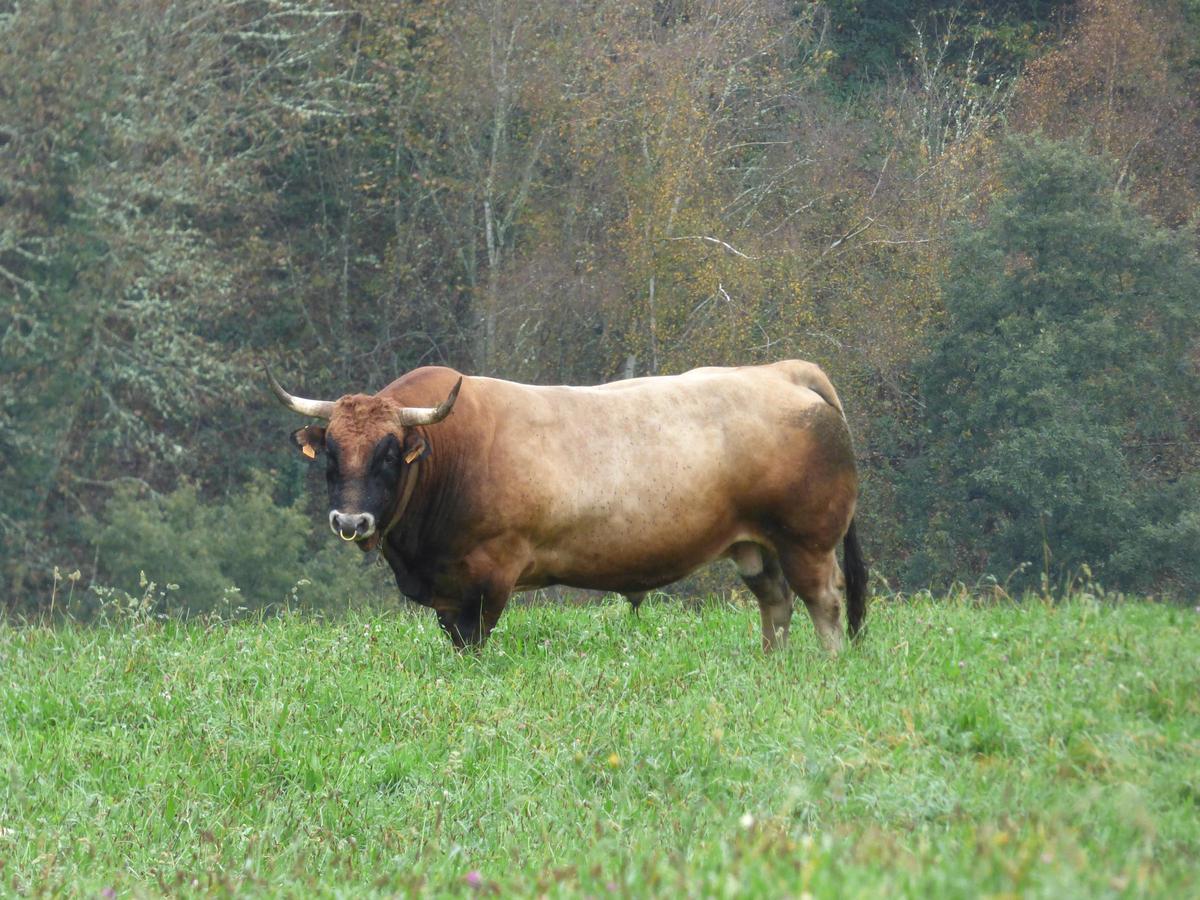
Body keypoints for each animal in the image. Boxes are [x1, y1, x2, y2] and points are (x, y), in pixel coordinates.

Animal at [271, 362, 868, 652]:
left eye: (390, 454)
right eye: (331, 451)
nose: (350, 520)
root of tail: (778, 371)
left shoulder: (490, 574)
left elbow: (472, 643)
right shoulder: (446, 587)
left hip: (806, 540)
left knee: (824, 601)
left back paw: (829, 664)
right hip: (753, 545)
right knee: (776, 602)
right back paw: (773, 663)